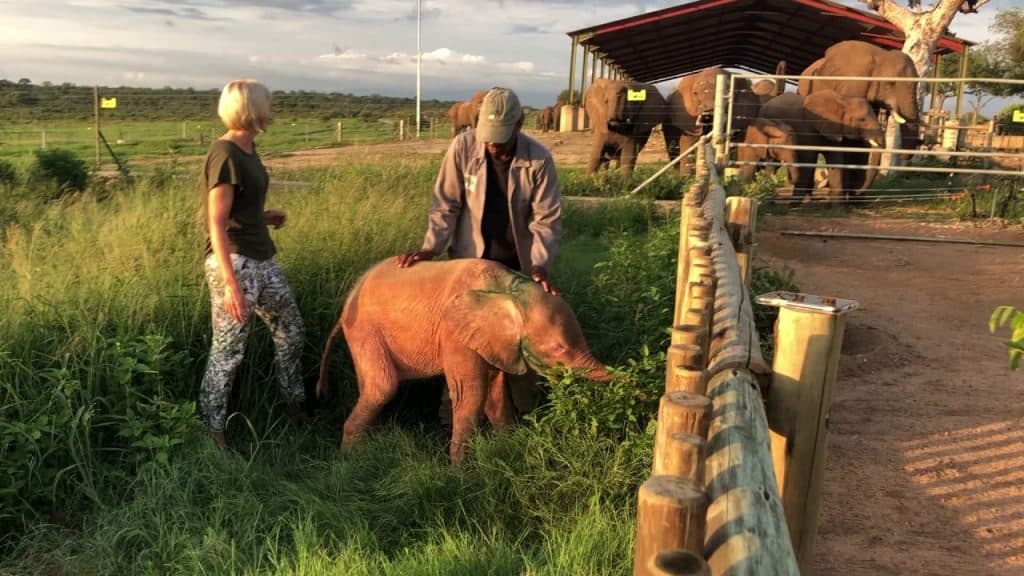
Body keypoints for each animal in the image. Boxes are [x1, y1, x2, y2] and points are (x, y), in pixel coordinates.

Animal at [316, 257, 611, 463]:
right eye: (558, 348)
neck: (509, 288)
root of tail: (348, 299)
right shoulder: (454, 333)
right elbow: (470, 393)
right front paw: (460, 473)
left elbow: (494, 395)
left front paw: (508, 449)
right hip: (364, 331)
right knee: (382, 387)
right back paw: (352, 458)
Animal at [750, 91, 885, 203]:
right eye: (862, 119)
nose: (856, 192)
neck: (843, 101)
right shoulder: (807, 130)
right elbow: (808, 161)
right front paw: (793, 206)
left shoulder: (834, 131)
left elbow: (836, 161)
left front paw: (838, 209)